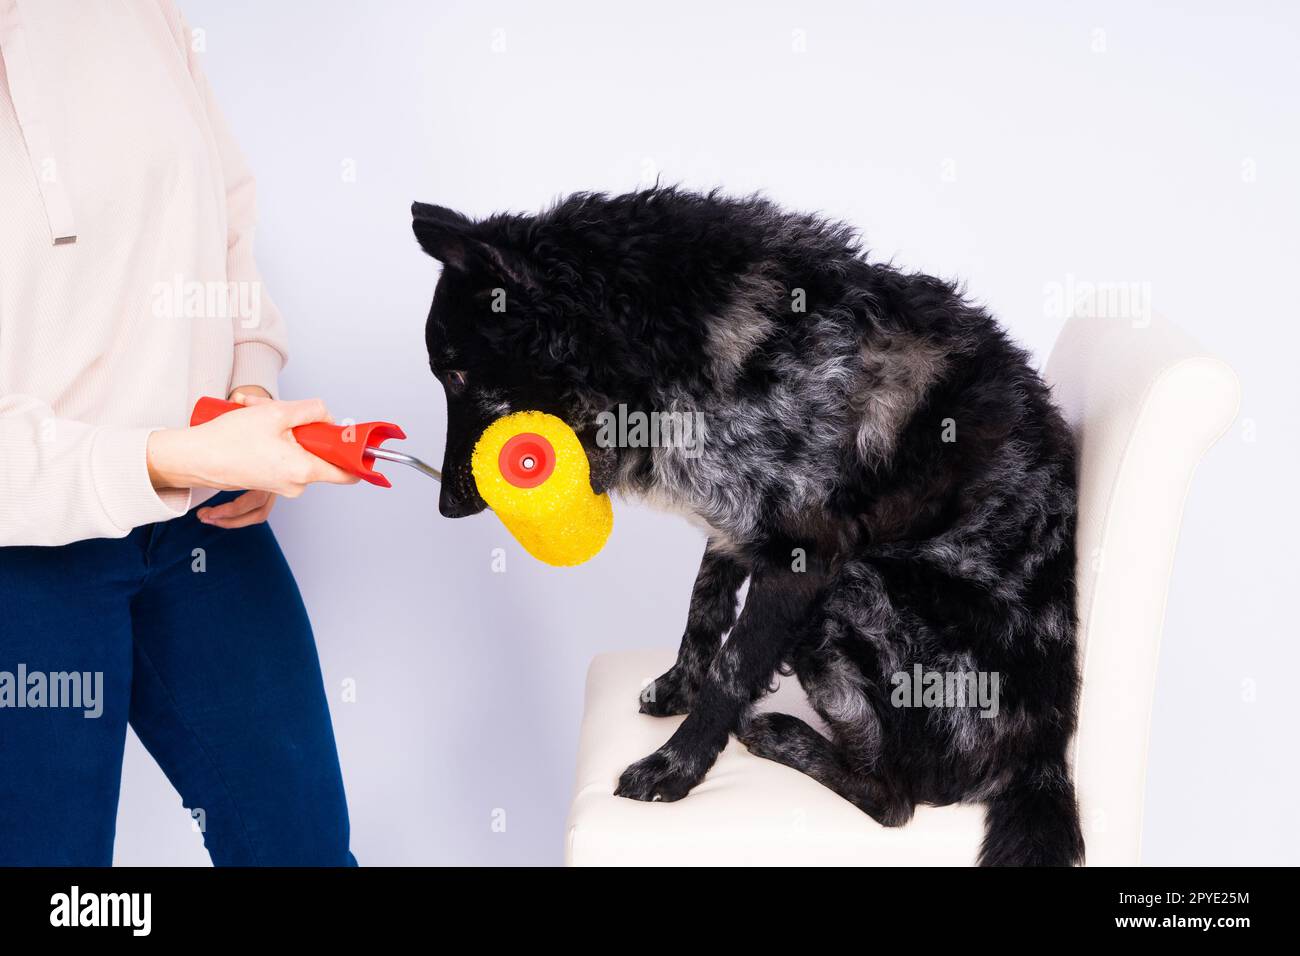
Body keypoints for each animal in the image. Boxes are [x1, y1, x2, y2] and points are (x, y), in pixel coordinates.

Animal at [416, 187, 1086, 868]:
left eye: (458, 374)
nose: (444, 507)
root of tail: (1044, 759)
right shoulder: (736, 517)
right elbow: (704, 606)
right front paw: (677, 687)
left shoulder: (800, 558)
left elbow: (733, 669)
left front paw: (674, 769)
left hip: (852, 592)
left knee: (895, 799)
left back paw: (779, 735)